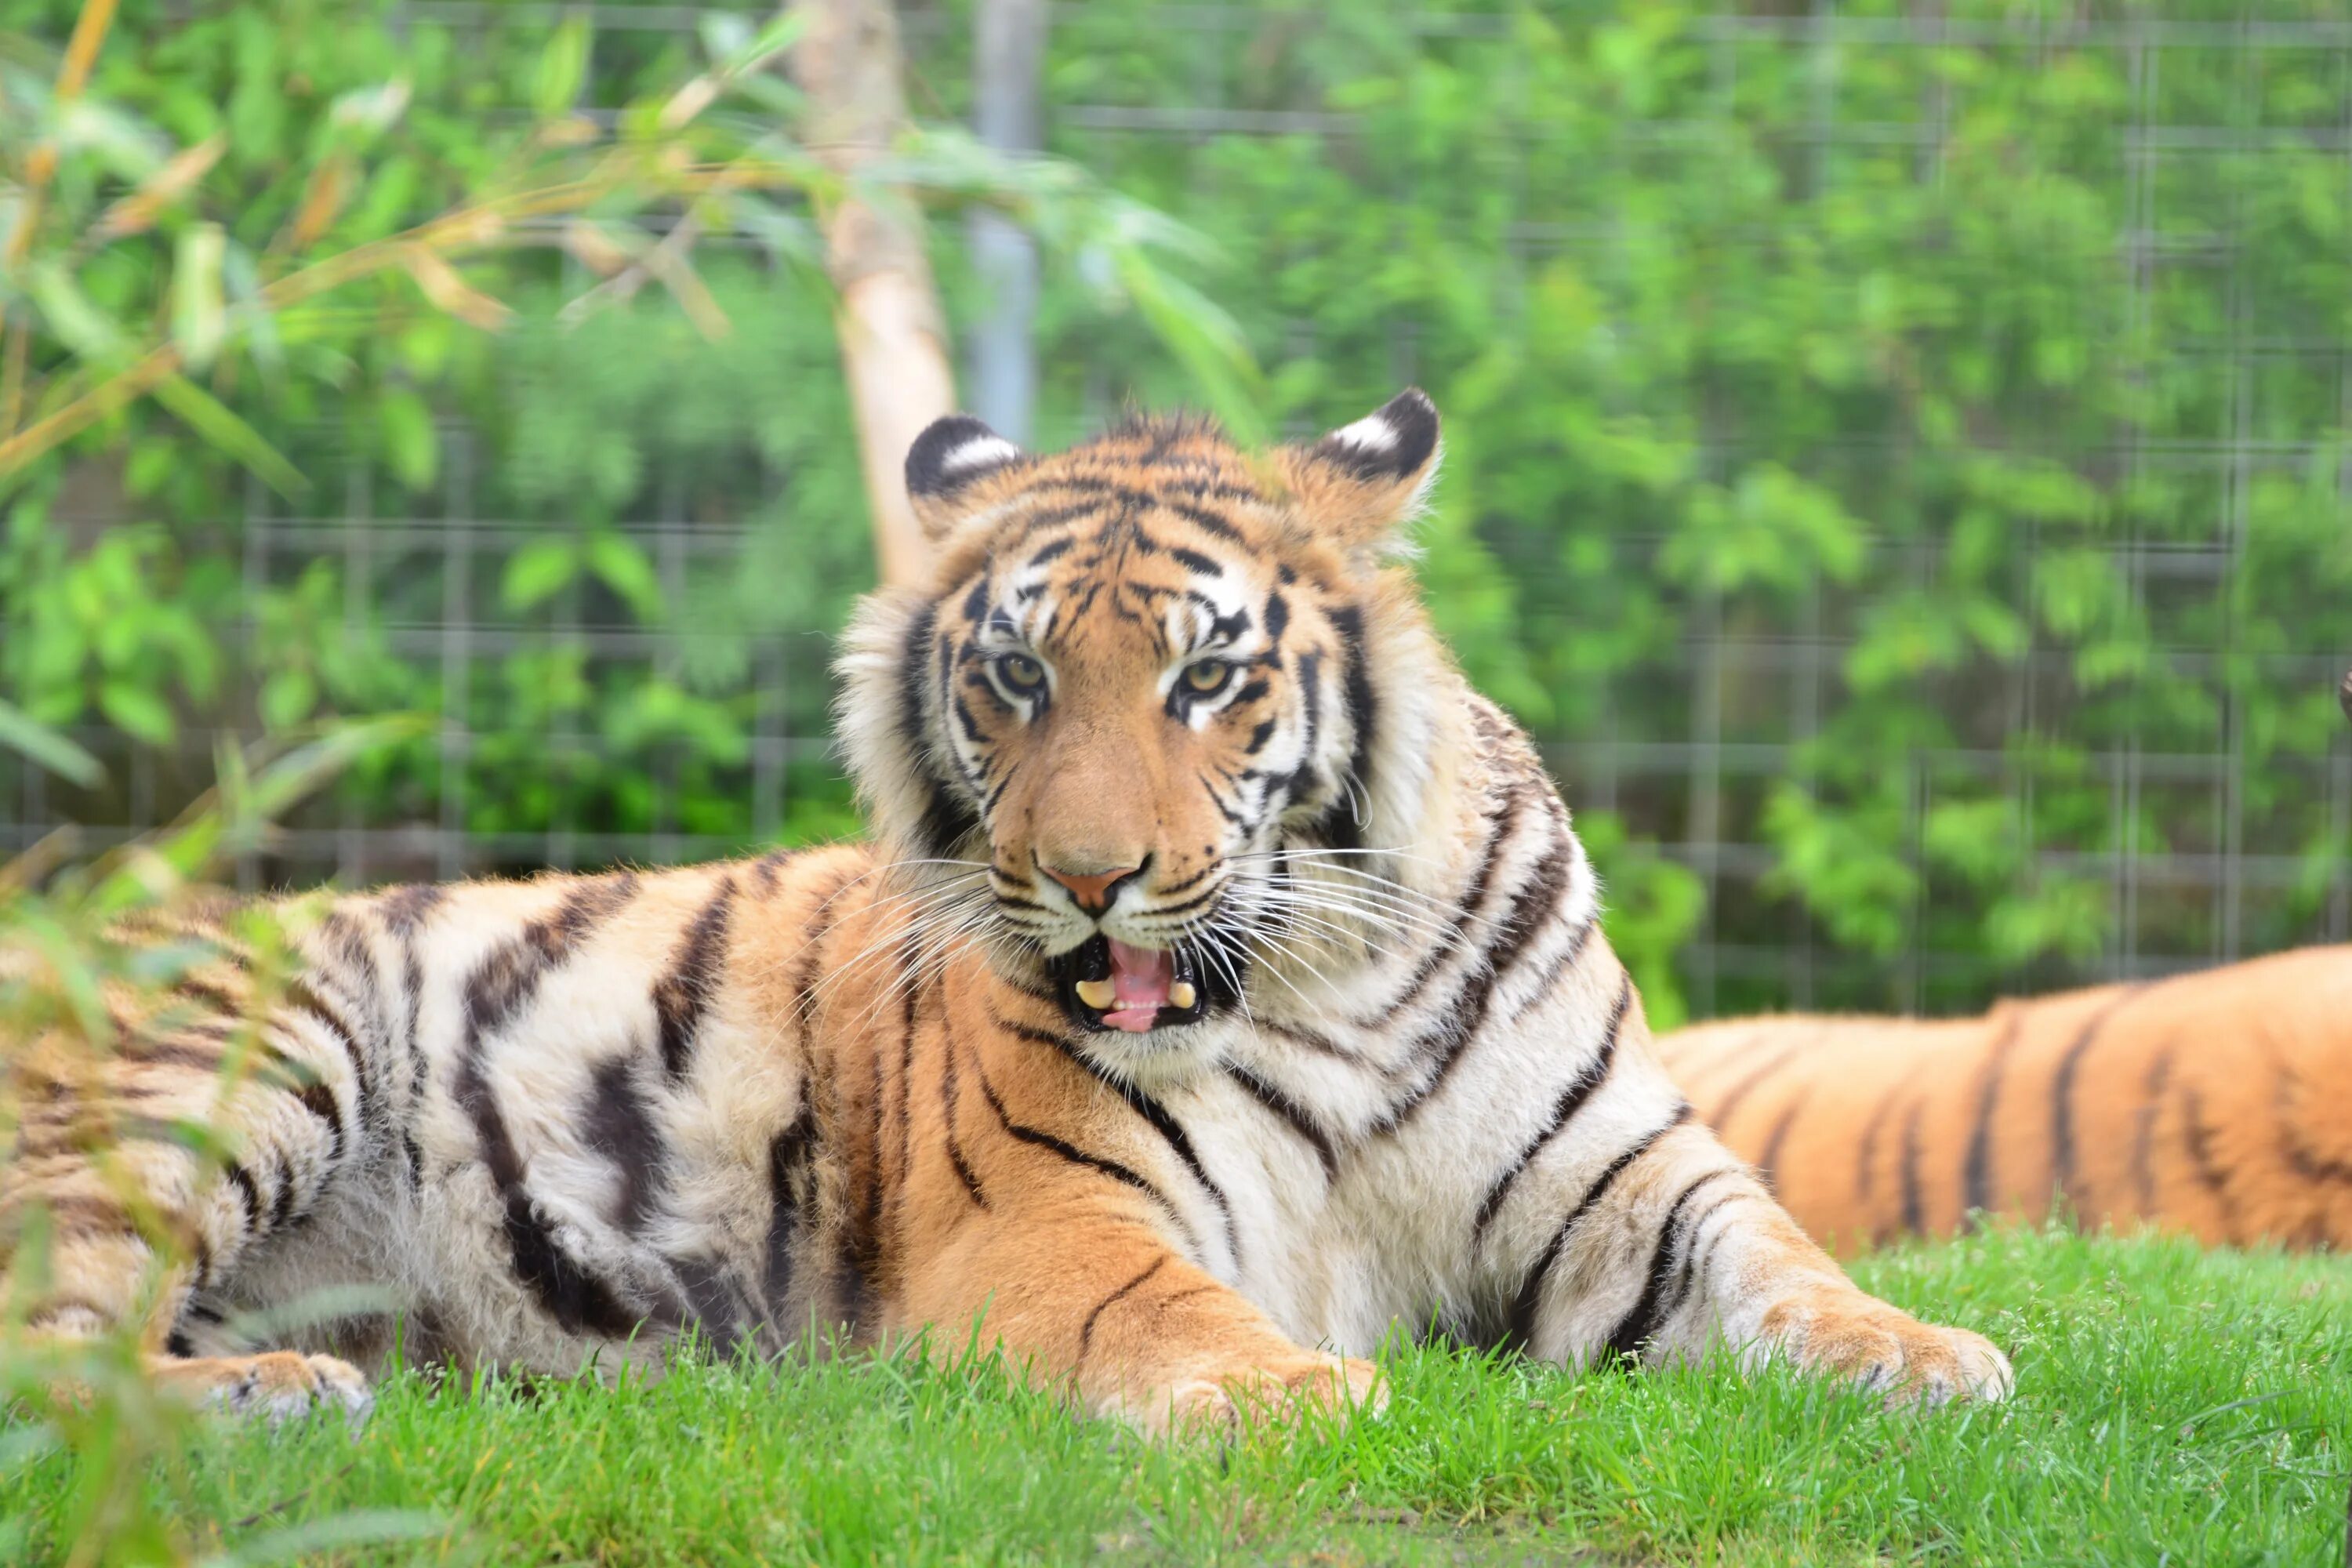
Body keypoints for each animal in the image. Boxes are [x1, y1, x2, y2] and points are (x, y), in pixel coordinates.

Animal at [0, 390, 2011, 1426]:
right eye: (1018, 678)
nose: (1087, 874)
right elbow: (1186, 1321)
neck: (1330, 977)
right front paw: (1318, 1392)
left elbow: (1784, 1264)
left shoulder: (1629, 1184)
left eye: (1207, 678)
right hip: (235, 1052)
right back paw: (279, 1397)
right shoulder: (1047, 1225)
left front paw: (1936, 1355)